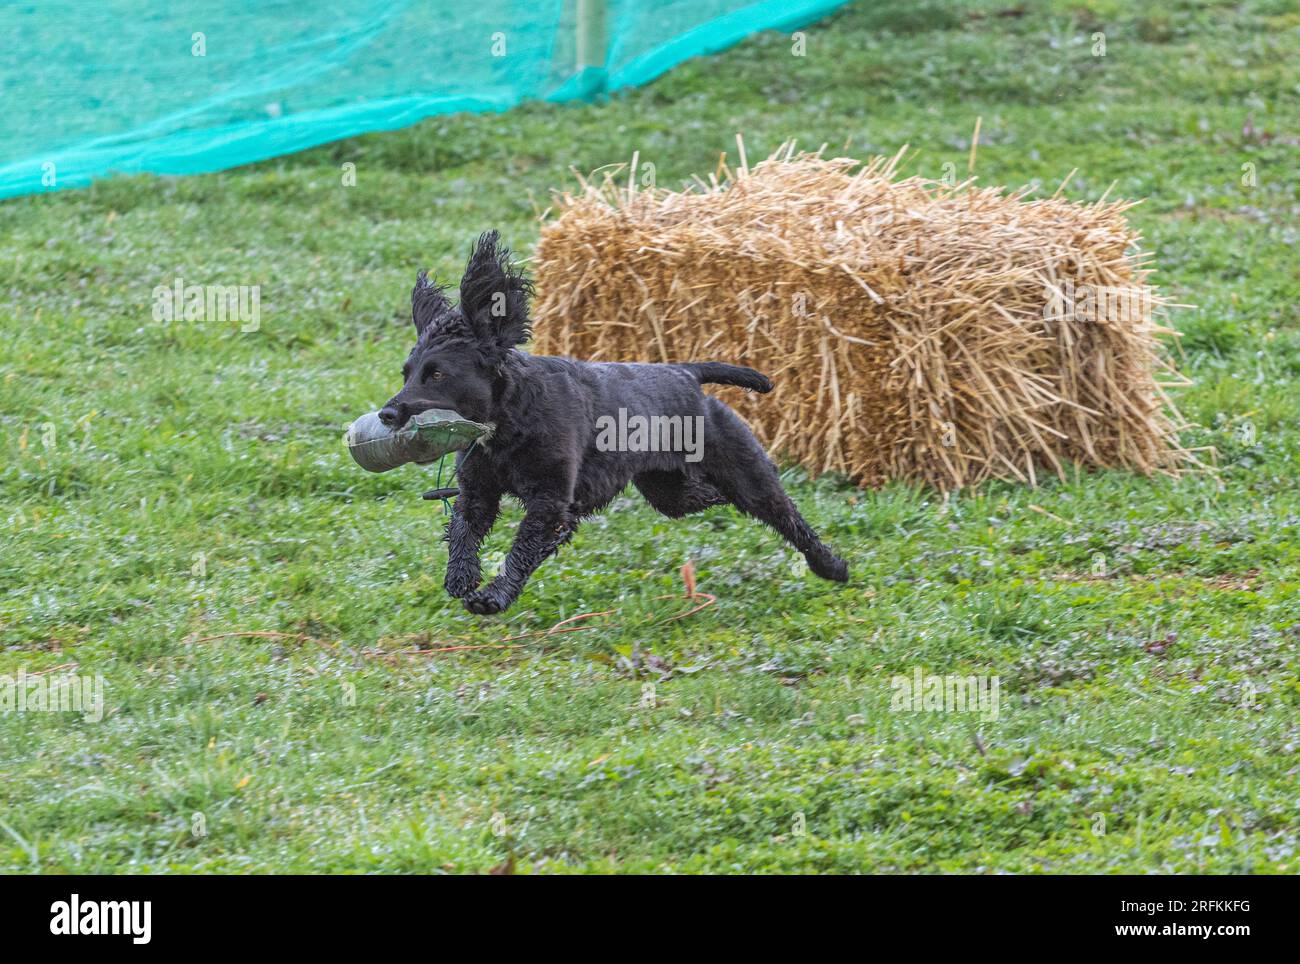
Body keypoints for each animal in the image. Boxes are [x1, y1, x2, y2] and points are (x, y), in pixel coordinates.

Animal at [379, 229, 847, 615]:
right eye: (407, 372)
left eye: (438, 374)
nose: (387, 414)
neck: (509, 420)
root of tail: (686, 373)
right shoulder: (478, 491)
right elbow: (463, 531)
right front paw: (461, 577)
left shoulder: (551, 502)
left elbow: (523, 548)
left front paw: (494, 596)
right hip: (668, 491)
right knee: (707, 495)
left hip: (746, 473)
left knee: (788, 519)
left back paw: (832, 567)